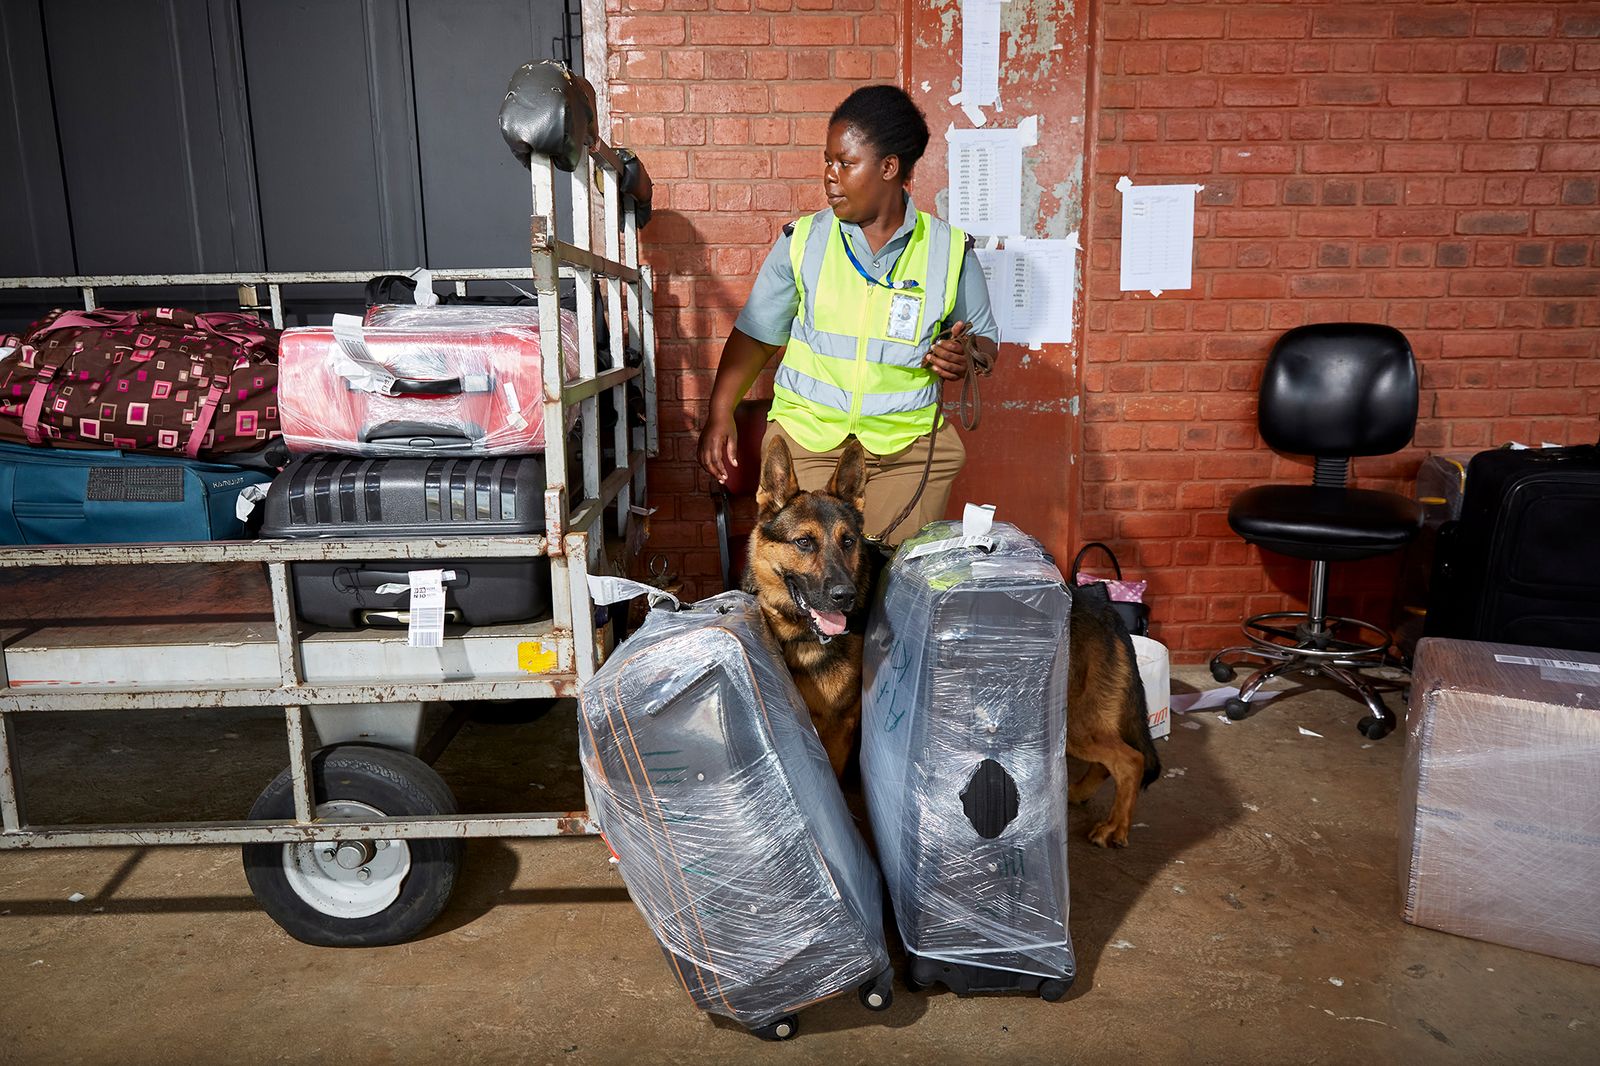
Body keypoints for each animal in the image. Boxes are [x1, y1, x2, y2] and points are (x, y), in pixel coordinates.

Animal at [1062, 576, 1164, 845]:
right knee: (1107, 763)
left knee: (1132, 761)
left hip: (1073, 723)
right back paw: (1076, 794)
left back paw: (1115, 827)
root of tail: (1108, 614)